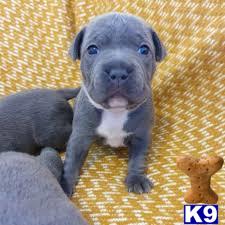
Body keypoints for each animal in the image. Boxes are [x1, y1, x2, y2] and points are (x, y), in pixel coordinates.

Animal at [60, 12, 166, 196]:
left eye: (144, 50)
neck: (116, 111)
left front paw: (136, 178)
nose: (118, 71)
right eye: (92, 49)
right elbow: (71, 160)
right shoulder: (80, 136)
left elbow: (138, 159)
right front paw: (65, 183)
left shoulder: (142, 136)